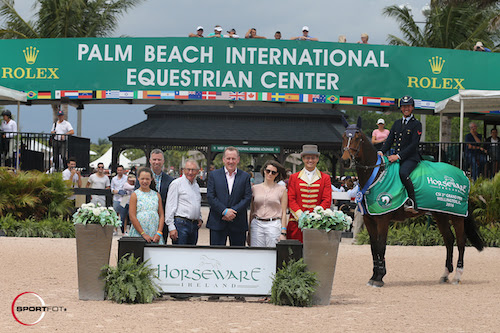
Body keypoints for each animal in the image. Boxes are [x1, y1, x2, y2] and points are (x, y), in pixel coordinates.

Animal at [342, 116, 482, 286]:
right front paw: (373, 276)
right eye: (344, 136)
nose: (345, 161)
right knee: (449, 239)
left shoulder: (383, 219)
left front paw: (380, 277)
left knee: (461, 241)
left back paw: (457, 276)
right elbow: (373, 247)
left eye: (357, 137)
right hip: (440, 214)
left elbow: (381, 245)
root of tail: (463, 173)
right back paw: (445, 275)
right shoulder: (369, 219)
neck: (376, 174)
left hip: (456, 215)